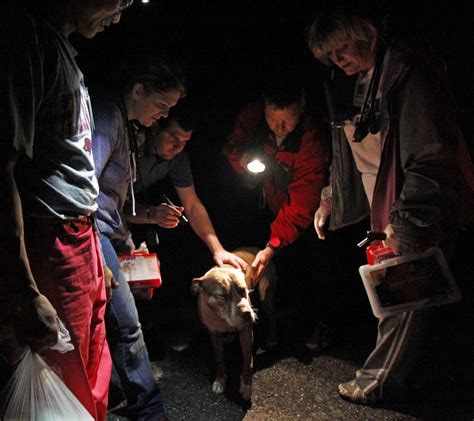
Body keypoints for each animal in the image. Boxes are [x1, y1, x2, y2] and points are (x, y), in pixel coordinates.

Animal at [190, 246, 276, 400]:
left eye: (244, 289)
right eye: (222, 295)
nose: (247, 313)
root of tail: (257, 248)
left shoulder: (246, 332)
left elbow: (248, 361)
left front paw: (246, 386)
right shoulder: (214, 334)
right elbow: (219, 359)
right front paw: (220, 381)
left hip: (267, 298)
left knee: (272, 318)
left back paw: (271, 338)